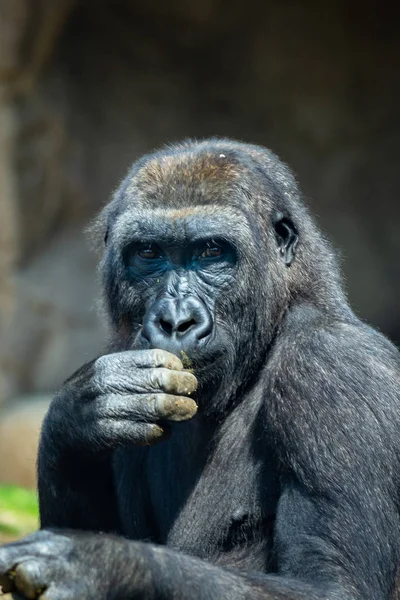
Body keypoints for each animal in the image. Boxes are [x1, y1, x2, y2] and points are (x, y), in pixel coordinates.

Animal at [0, 139, 400, 600]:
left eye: (212, 251)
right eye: (148, 252)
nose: (176, 321)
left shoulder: (336, 370)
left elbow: (333, 585)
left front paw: (94, 564)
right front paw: (79, 412)